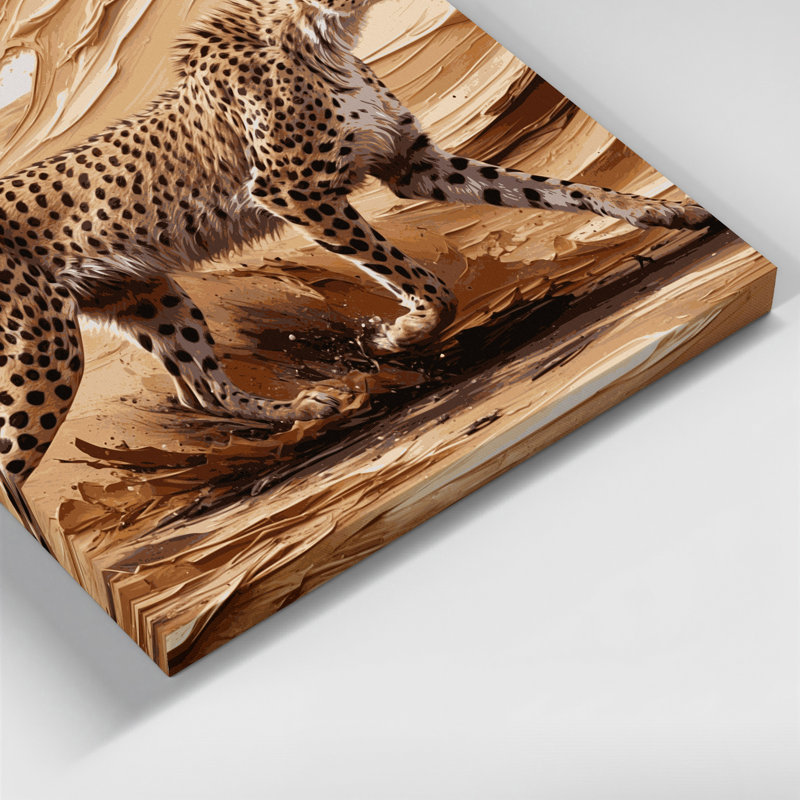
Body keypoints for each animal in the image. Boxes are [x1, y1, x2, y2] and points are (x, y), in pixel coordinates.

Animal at [0, 0, 713, 537]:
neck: (321, 32)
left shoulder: (412, 163)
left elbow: (551, 188)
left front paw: (658, 209)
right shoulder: (296, 192)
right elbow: (424, 281)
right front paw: (400, 335)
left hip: (146, 293)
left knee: (201, 390)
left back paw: (303, 408)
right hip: (44, 351)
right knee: (12, 463)